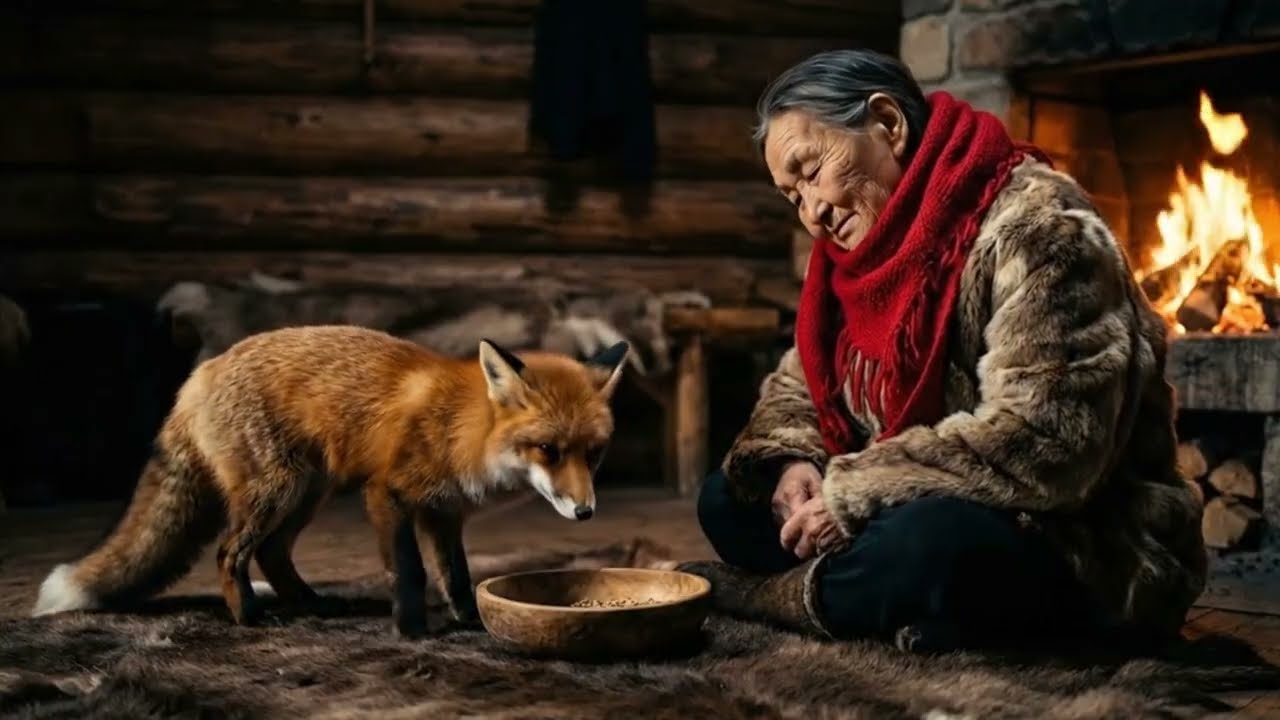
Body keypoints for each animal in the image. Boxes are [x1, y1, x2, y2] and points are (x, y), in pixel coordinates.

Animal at [31, 324, 630, 638]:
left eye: (594, 454)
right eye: (548, 450)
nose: (585, 513)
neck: (462, 427)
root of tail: (200, 374)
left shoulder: (443, 512)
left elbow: (457, 576)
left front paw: (472, 624)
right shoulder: (388, 494)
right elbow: (409, 572)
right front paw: (412, 631)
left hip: (304, 494)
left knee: (270, 553)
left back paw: (311, 606)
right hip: (277, 490)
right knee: (229, 552)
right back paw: (247, 618)